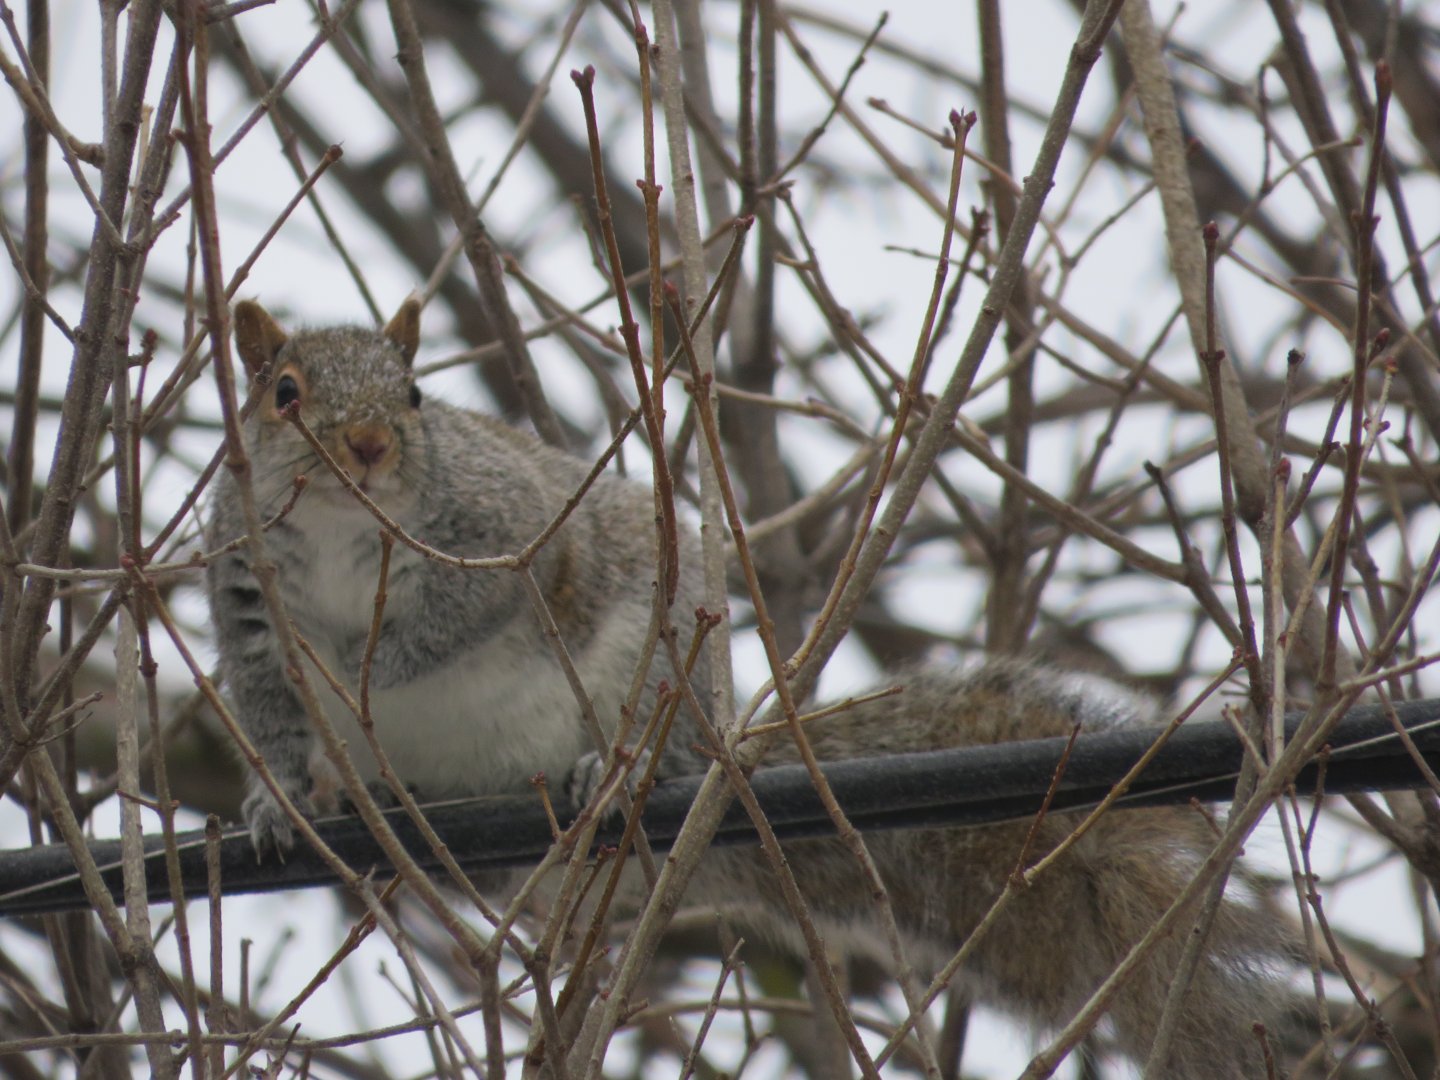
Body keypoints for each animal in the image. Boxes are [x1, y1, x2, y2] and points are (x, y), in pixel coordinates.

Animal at [206, 300, 1296, 1078]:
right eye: (285, 393)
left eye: (416, 395)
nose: (370, 447)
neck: (347, 539)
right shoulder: (246, 603)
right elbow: (268, 712)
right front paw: (273, 801)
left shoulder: (507, 536)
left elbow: (455, 622)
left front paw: (364, 665)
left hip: (663, 665)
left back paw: (613, 770)